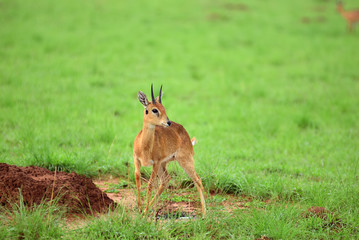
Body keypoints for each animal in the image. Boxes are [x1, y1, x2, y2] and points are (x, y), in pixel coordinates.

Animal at [134, 84, 207, 216]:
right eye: (154, 110)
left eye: (164, 108)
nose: (168, 122)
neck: (144, 147)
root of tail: (186, 134)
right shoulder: (136, 159)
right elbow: (138, 180)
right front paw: (140, 208)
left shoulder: (156, 163)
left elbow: (150, 184)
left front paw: (143, 211)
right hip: (164, 164)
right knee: (166, 180)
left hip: (184, 161)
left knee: (197, 180)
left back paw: (204, 214)